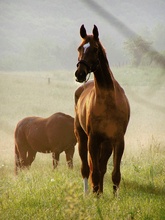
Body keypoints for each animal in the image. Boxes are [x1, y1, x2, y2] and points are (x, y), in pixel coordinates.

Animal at [74, 24, 130, 195]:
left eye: (95, 49)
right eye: (80, 48)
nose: (79, 74)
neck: (109, 103)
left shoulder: (118, 140)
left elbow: (115, 173)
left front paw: (114, 197)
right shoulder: (93, 139)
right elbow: (95, 172)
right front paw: (96, 196)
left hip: (106, 144)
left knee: (102, 167)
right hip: (82, 139)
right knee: (87, 169)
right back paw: (88, 193)